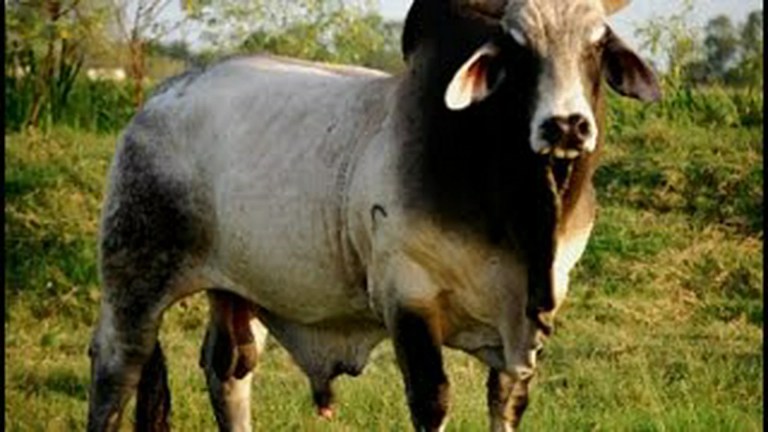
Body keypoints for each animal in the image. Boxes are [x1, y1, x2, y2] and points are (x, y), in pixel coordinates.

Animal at [86, 0, 660, 431]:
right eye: (518, 50)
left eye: (597, 44)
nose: (566, 126)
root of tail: (156, 100)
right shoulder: (407, 296)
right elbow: (432, 400)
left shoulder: (529, 320)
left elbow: (507, 403)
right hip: (134, 280)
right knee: (117, 368)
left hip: (238, 291)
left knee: (229, 370)